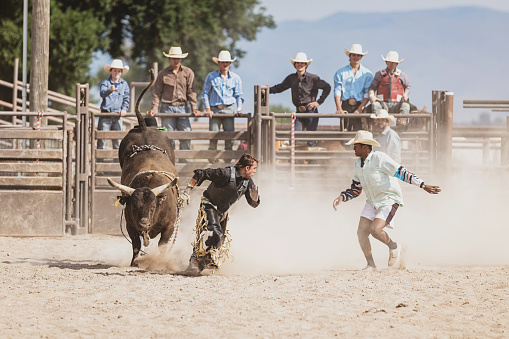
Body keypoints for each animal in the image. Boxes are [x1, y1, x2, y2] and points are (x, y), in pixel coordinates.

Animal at [106, 68, 180, 266]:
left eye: (153, 206)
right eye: (134, 206)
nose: (144, 224)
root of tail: (144, 127)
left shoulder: (170, 226)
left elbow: (162, 245)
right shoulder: (130, 226)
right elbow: (136, 244)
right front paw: (134, 262)